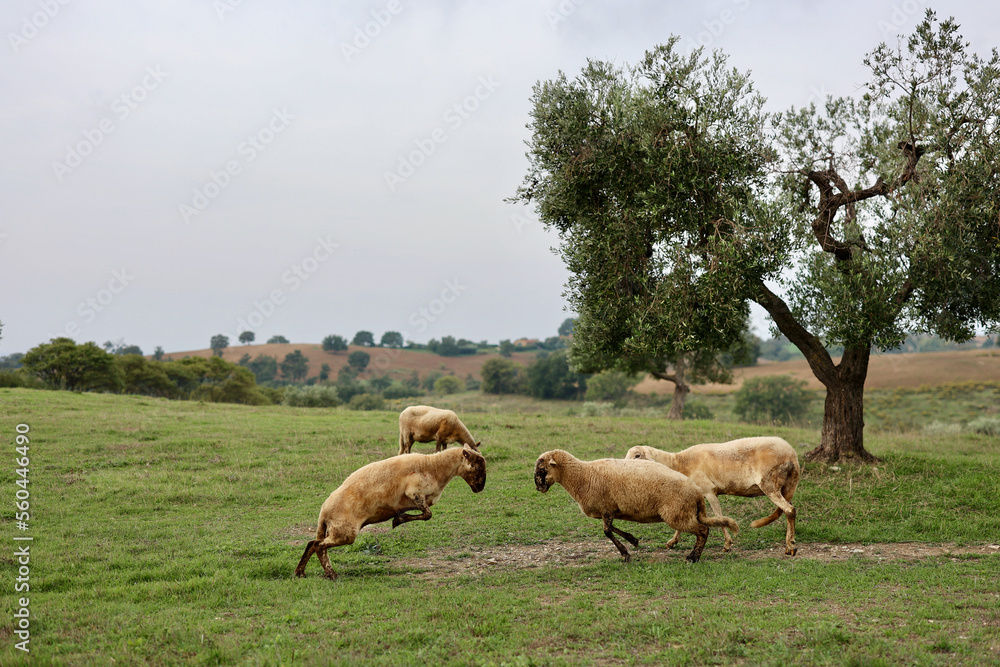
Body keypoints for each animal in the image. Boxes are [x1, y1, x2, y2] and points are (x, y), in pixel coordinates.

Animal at [295, 444, 487, 579]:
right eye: (477, 467)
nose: (480, 488)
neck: (434, 467)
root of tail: (323, 512)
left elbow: (425, 513)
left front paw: (398, 518)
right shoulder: (415, 493)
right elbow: (427, 514)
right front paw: (398, 520)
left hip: (333, 530)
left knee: (312, 543)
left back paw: (301, 572)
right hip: (345, 532)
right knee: (318, 546)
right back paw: (331, 574)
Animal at [533, 449, 739, 563]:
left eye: (542, 469)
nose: (538, 488)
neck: (582, 475)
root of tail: (696, 493)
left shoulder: (606, 508)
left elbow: (607, 532)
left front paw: (626, 554)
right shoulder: (610, 510)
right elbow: (611, 529)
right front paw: (633, 541)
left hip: (676, 514)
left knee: (703, 530)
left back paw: (693, 557)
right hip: (684, 513)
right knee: (703, 529)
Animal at [625, 436, 800, 555]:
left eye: (637, 455)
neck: (679, 463)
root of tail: (791, 454)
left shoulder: (709, 491)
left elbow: (718, 516)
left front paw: (727, 544)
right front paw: (672, 542)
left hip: (770, 483)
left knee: (789, 510)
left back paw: (790, 546)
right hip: (789, 485)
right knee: (788, 509)